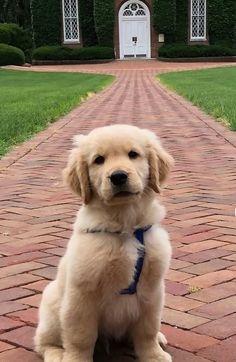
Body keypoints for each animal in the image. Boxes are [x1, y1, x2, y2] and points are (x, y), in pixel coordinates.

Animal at [35, 125, 174, 362]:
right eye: (99, 160)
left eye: (133, 154)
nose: (118, 176)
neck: (124, 225)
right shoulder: (81, 294)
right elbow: (80, 337)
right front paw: (76, 359)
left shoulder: (153, 290)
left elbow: (148, 329)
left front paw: (154, 355)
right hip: (52, 305)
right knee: (42, 342)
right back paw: (56, 354)